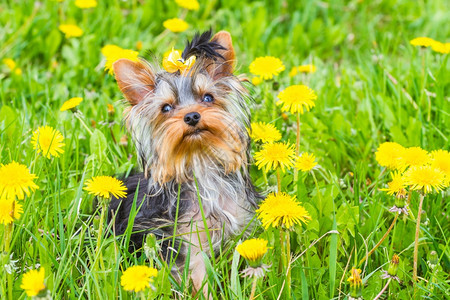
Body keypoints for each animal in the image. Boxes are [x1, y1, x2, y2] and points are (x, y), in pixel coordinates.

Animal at [108, 29, 260, 292]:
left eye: (208, 97)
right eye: (166, 108)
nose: (191, 116)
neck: (198, 160)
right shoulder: (188, 239)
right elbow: (198, 274)